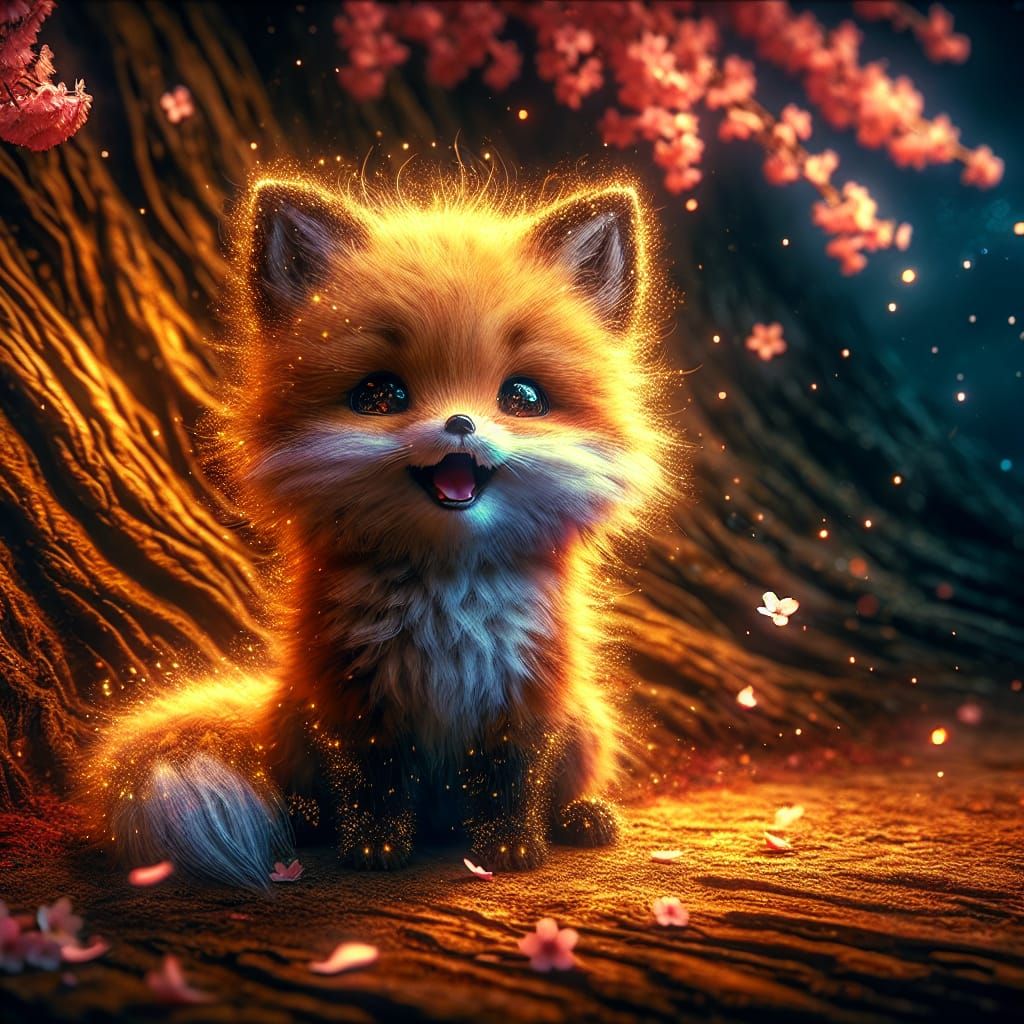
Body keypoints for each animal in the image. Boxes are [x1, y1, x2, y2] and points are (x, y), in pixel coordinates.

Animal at [86, 169, 672, 888]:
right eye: (380, 395)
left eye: (522, 398)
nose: (459, 422)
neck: (449, 590)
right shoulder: (352, 696)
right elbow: (372, 783)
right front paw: (373, 848)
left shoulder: (531, 690)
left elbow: (513, 780)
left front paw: (511, 849)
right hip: (294, 718)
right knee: (298, 784)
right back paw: (306, 819)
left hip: (589, 723)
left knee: (564, 783)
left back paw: (583, 816)